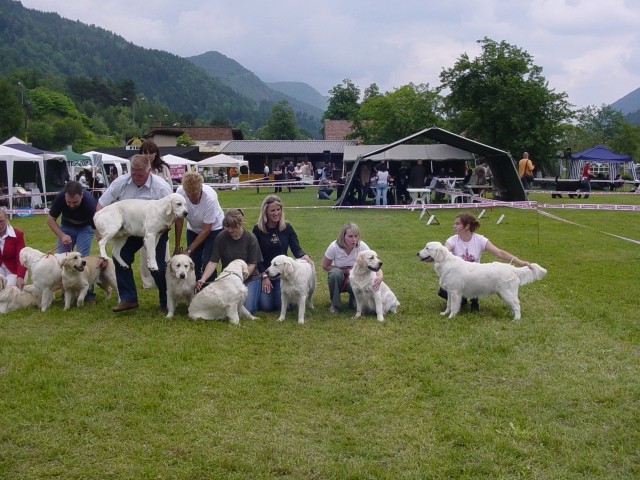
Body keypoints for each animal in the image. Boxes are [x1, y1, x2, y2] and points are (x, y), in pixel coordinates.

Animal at [418, 242, 548, 320]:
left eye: (427, 248)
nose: (417, 253)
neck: (445, 263)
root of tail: (513, 269)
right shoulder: (450, 292)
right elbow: (449, 305)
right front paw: (445, 313)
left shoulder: (455, 292)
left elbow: (454, 306)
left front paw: (451, 317)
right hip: (503, 294)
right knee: (513, 305)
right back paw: (511, 315)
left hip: (507, 292)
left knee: (516, 305)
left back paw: (516, 319)